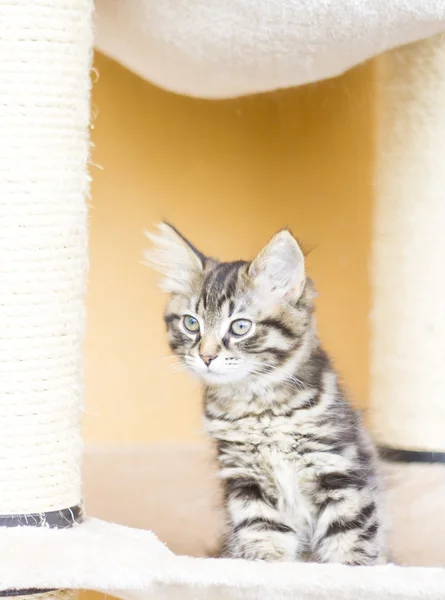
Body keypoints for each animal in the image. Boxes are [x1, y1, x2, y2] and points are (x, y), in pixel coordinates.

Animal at [147, 223, 386, 564]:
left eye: (240, 327)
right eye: (191, 324)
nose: (206, 356)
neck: (258, 407)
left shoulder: (338, 467)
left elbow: (351, 541)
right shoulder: (246, 480)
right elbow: (263, 537)